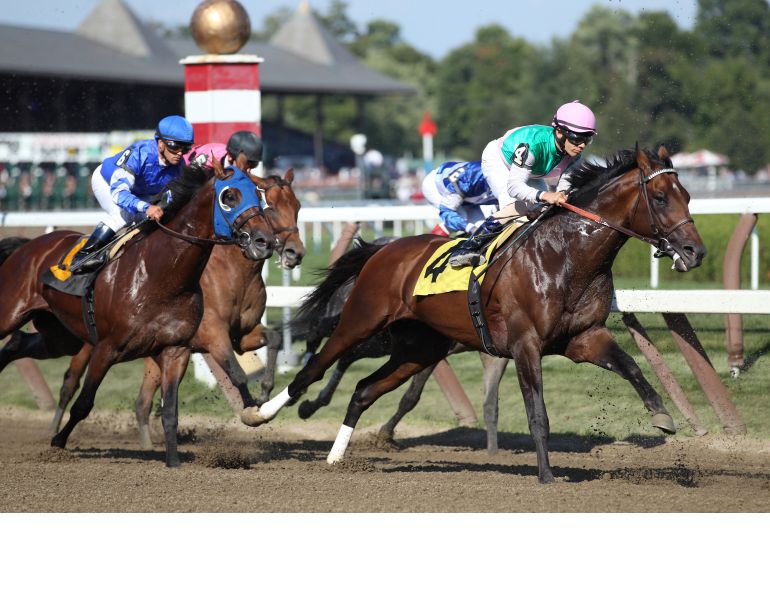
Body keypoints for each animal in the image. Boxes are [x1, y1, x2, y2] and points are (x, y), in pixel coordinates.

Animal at [0, 155, 276, 467]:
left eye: (259, 196)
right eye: (229, 196)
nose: (265, 241)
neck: (161, 276)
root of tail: (29, 245)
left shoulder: (176, 350)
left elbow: (170, 412)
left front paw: (173, 461)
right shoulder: (106, 348)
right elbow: (84, 403)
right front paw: (58, 441)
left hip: (61, 336)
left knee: (18, 343)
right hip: (13, 313)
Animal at [47, 169, 304, 448]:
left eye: (297, 206)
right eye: (271, 207)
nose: (295, 252)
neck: (234, 274)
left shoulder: (242, 335)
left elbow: (274, 338)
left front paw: (265, 393)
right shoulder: (212, 334)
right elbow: (236, 372)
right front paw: (252, 409)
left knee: (141, 402)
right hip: (93, 340)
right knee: (71, 381)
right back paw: (54, 431)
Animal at [246, 145, 706, 483]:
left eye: (687, 196)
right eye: (660, 197)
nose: (695, 251)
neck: (565, 256)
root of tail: (384, 249)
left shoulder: (583, 338)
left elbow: (630, 365)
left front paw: (662, 416)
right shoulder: (525, 344)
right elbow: (537, 413)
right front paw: (546, 476)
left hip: (419, 347)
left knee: (362, 390)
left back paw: (337, 456)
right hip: (362, 322)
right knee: (316, 367)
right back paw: (261, 413)